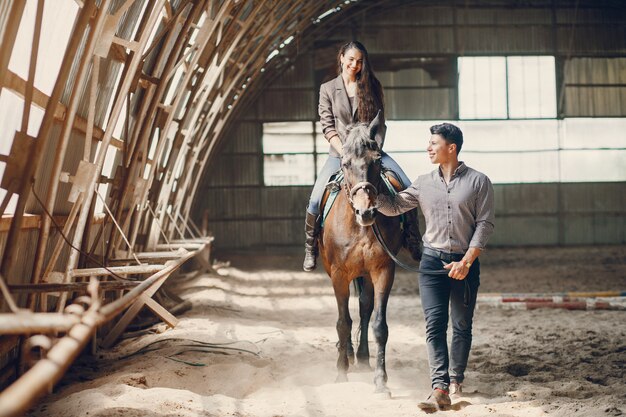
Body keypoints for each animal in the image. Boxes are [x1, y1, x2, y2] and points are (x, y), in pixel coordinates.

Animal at [316, 113, 400, 394]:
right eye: (345, 163)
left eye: (377, 161)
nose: (366, 212)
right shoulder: (338, 274)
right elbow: (343, 322)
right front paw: (341, 371)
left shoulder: (383, 271)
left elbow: (378, 324)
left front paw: (381, 381)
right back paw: (349, 355)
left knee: (364, 308)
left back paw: (362, 357)